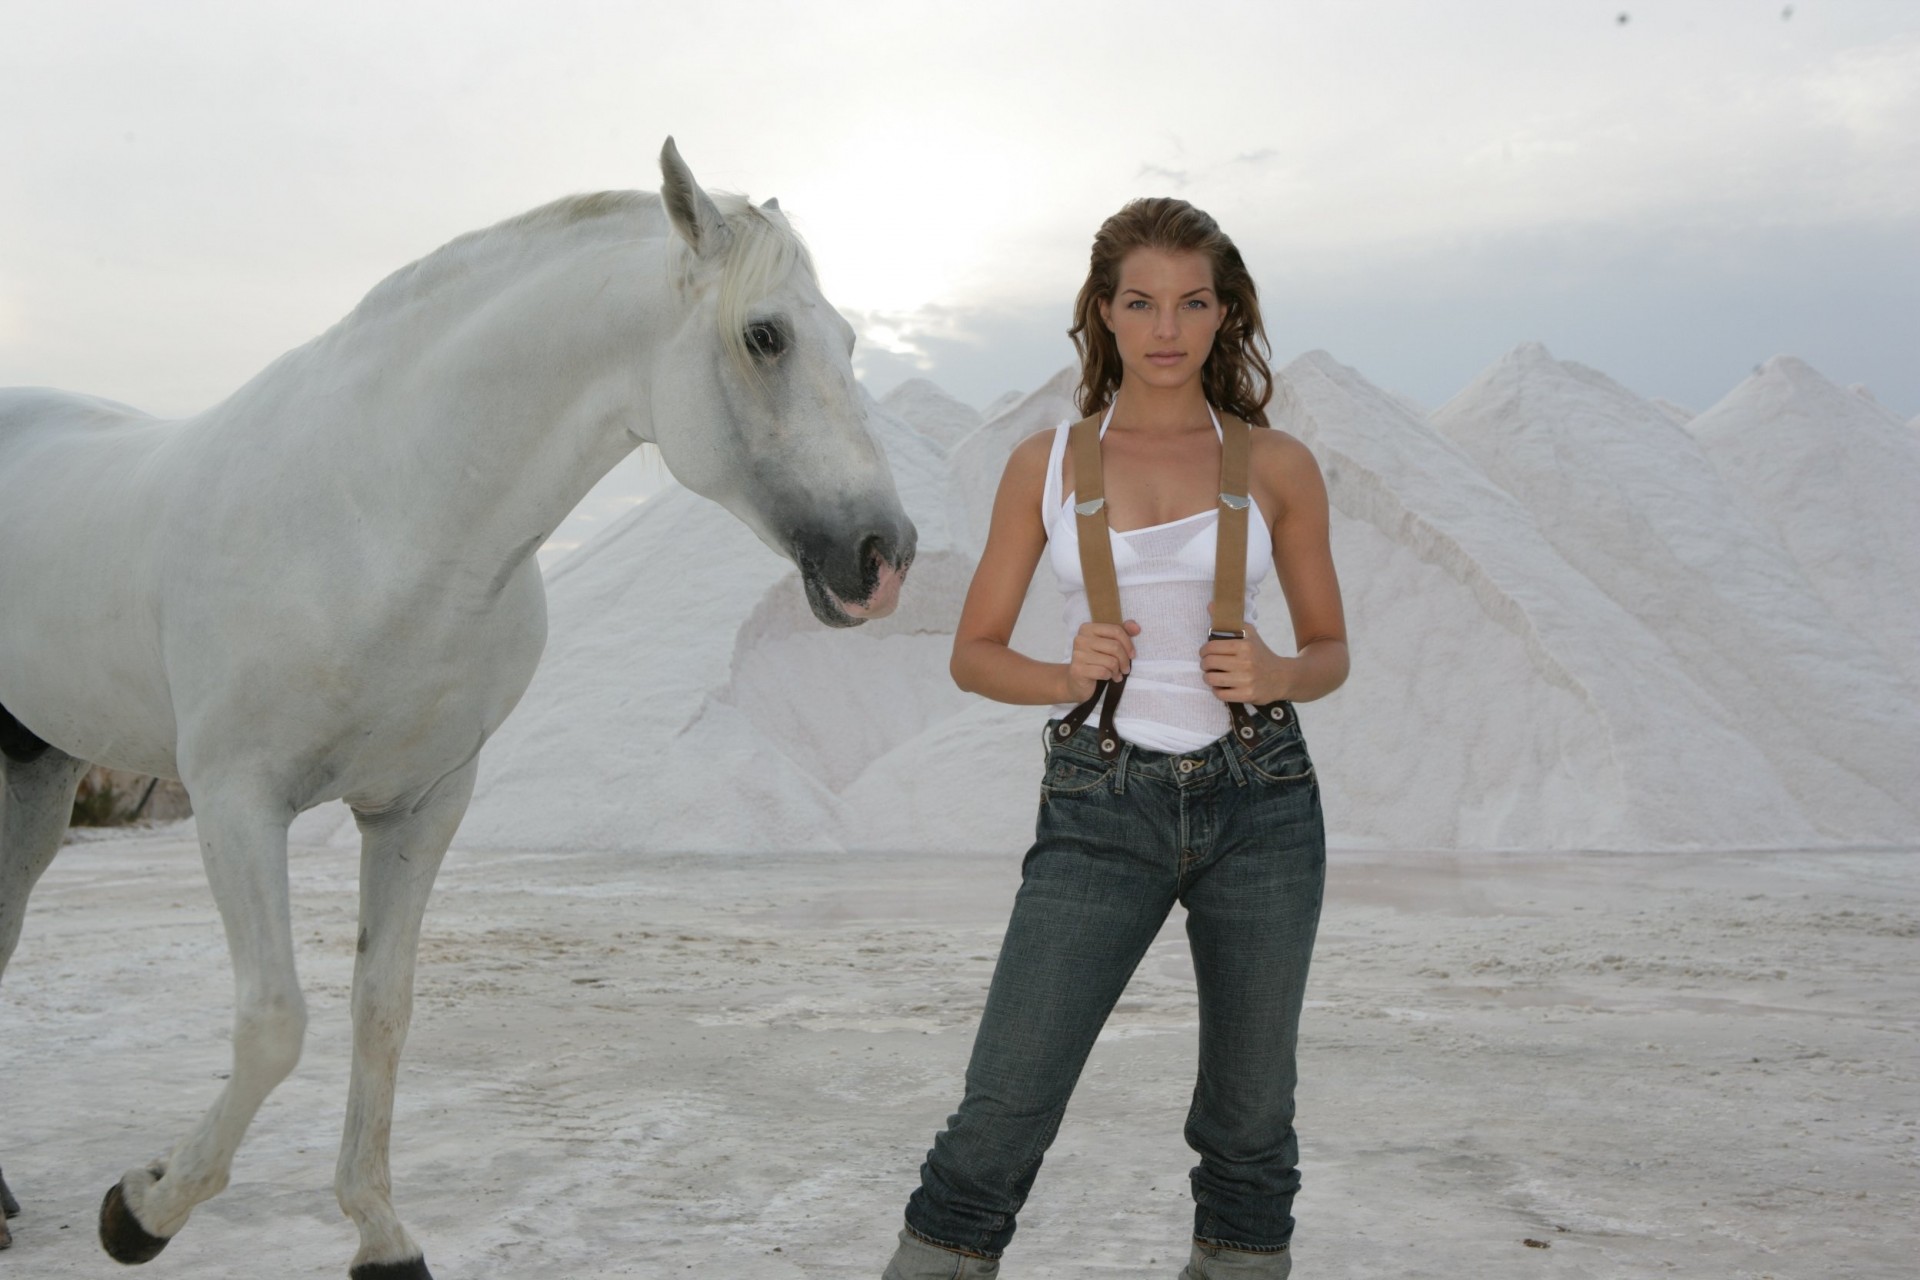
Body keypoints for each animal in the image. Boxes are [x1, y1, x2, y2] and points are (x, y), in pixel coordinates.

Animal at [0, 140, 913, 1280]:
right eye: (766, 335)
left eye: (846, 338)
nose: (885, 555)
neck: (382, 519)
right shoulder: (236, 800)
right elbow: (274, 1022)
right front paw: (141, 1209)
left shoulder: (421, 804)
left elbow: (382, 1011)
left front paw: (380, 1232)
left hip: (38, 773)